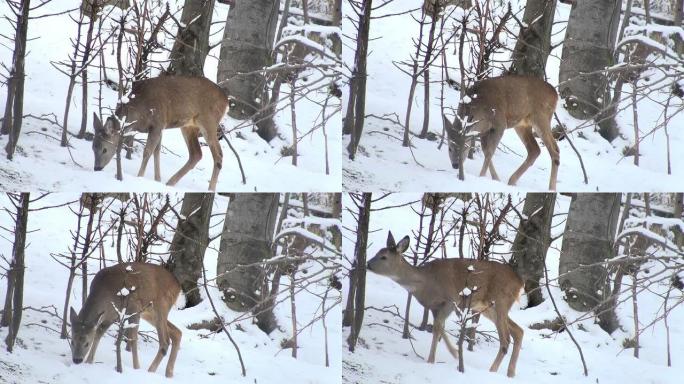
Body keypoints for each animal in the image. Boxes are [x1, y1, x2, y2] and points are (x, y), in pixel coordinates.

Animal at [92, 75, 230, 190]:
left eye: (104, 149)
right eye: (93, 148)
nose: (97, 168)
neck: (139, 112)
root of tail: (226, 100)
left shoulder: (158, 123)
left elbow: (148, 152)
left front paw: (139, 177)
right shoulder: (159, 127)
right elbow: (157, 151)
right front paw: (157, 180)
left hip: (209, 121)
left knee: (218, 155)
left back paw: (210, 189)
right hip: (189, 125)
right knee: (196, 154)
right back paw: (170, 182)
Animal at [368, 232, 524, 376]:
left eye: (384, 257)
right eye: (377, 253)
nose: (367, 264)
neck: (426, 283)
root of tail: (519, 282)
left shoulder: (452, 299)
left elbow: (437, 327)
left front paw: (435, 359)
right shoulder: (433, 307)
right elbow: (439, 327)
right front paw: (452, 353)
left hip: (500, 300)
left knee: (505, 340)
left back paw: (492, 371)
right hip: (487, 307)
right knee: (518, 331)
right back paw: (511, 373)